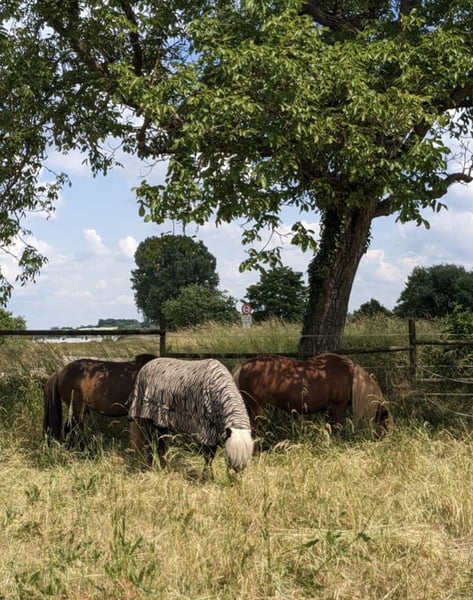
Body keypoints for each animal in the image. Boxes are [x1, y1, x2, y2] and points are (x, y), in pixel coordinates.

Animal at [232, 353, 392, 442]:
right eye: (384, 423)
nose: (383, 441)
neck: (350, 377)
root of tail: (244, 365)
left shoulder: (330, 409)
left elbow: (330, 428)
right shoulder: (339, 406)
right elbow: (338, 427)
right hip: (257, 407)